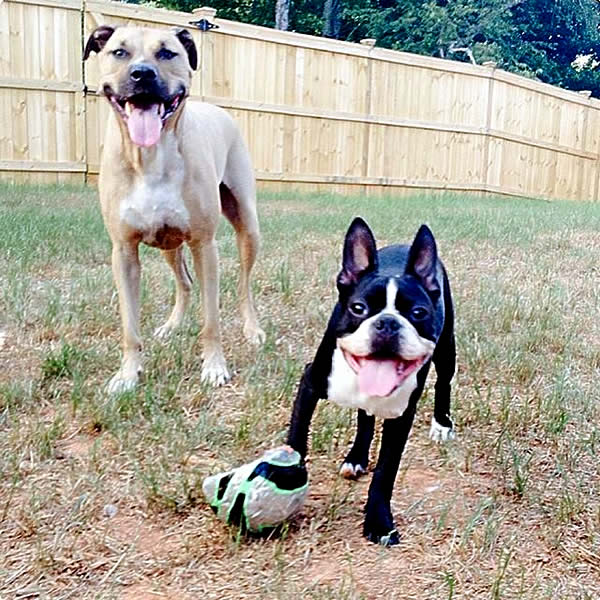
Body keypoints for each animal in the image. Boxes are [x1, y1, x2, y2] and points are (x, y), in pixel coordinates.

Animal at [83, 25, 264, 393]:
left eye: (167, 53)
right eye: (119, 52)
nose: (142, 74)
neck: (149, 157)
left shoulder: (204, 245)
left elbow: (211, 320)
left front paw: (214, 366)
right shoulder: (123, 251)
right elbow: (129, 326)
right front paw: (128, 374)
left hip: (248, 227)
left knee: (244, 285)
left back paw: (251, 329)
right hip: (169, 244)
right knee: (184, 284)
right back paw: (172, 325)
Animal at [287, 217, 456, 545]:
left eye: (419, 312)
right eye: (358, 308)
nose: (387, 323)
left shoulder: (402, 416)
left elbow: (386, 471)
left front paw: (379, 522)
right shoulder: (311, 383)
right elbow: (297, 438)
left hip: (446, 351)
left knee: (444, 382)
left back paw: (442, 424)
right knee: (365, 416)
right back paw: (356, 457)